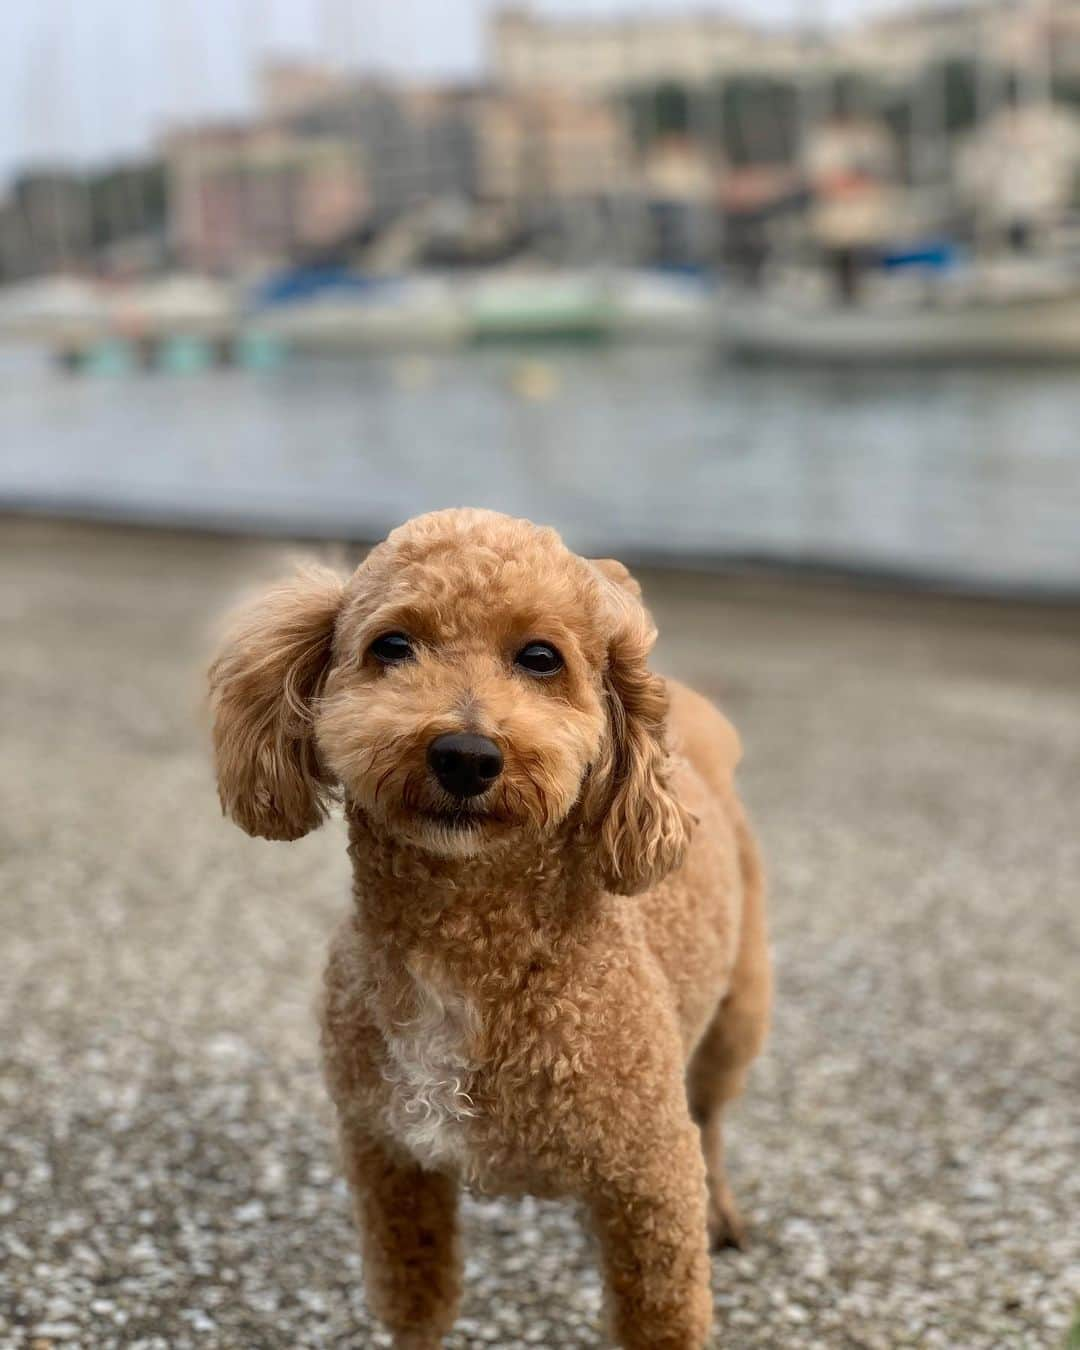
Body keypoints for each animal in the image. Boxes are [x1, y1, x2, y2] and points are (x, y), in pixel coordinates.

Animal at [209, 507, 766, 1350]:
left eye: (540, 658)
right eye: (392, 646)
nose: (466, 754)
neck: (468, 946)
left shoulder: (651, 1176)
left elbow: (663, 1315)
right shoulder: (391, 1159)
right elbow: (417, 1301)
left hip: (740, 1015)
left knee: (714, 1116)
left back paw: (724, 1210)